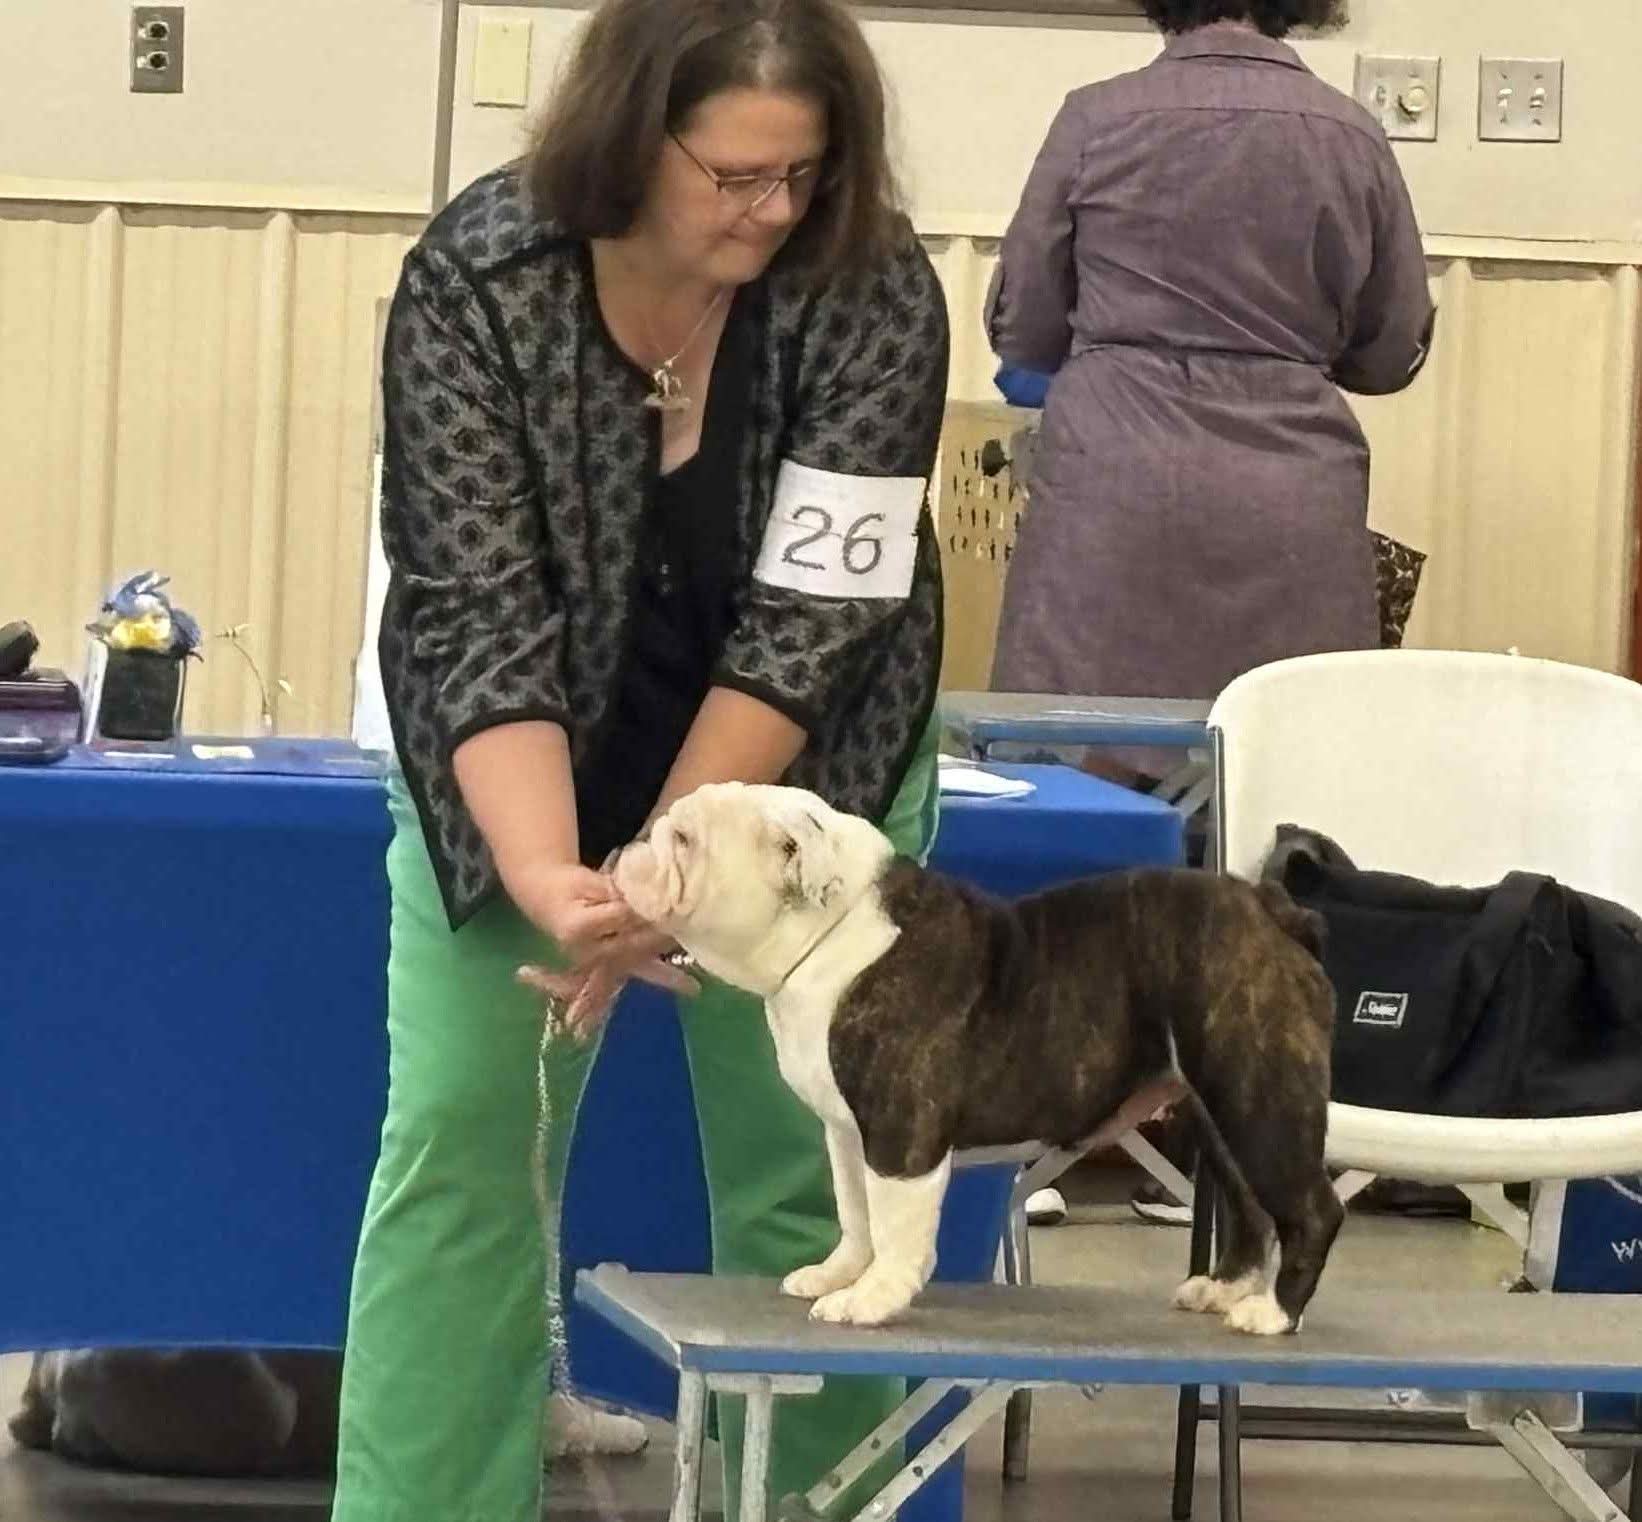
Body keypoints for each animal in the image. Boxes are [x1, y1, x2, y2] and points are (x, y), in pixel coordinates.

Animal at [612, 782, 1343, 1334]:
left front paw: (871, 1300)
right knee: (1249, 1205)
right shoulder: (848, 1136)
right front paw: (837, 1274)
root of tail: (1273, 910)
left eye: (685, 840)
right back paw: (1226, 1290)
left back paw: (1275, 1315)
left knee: (1311, 1209)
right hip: (1220, 1115)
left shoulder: (900, 1141)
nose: (630, 841)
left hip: (1258, 1099)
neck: (830, 933)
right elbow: (856, 1213)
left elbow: (896, 1227)